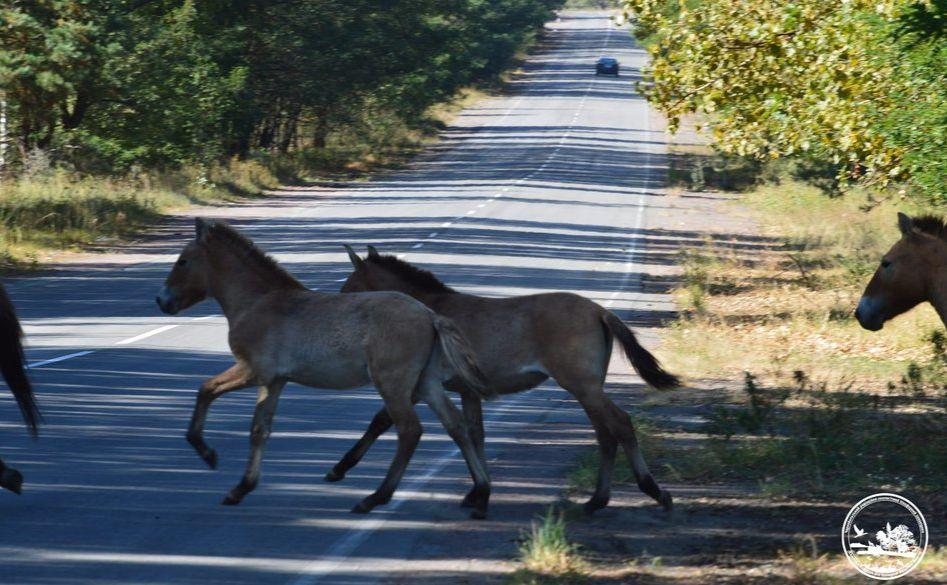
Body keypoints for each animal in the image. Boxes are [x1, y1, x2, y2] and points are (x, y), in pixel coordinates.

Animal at [156, 218, 496, 516]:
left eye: (182, 261)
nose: (162, 301)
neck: (258, 301)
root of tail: (430, 315)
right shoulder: (274, 381)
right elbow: (259, 430)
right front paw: (241, 488)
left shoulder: (253, 371)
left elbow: (206, 390)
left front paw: (207, 453)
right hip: (425, 383)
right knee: (457, 426)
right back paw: (481, 492)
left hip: (393, 383)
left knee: (410, 431)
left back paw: (374, 498)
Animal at [334, 244, 680, 512]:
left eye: (349, 289)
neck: (428, 310)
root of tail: (599, 311)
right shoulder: (466, 391)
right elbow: (475, 433)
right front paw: (477, 492)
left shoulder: (419, 385)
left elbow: (381, 421)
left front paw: (340, 468)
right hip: (588, 389)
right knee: (605, 434)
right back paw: (597, 499)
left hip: (583, 386)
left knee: (619, 424)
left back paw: (653, 491)